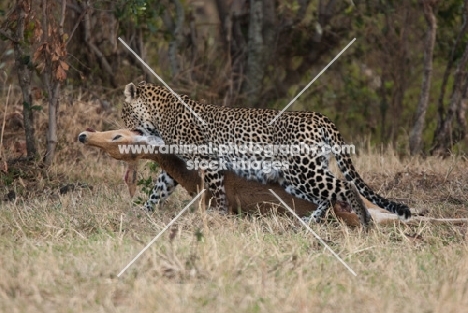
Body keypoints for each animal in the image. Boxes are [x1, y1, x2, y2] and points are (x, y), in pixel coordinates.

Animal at [120, 80, 410, 224]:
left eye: (124, 111)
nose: (119, 123)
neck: (158, 116)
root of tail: (319, 117)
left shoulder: (210, 161)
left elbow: (217, 192)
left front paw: (221, 217)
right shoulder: (178, 167)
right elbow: (159, 189)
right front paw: (144, 212)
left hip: (302, 170)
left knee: (344, 186)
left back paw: (365, 222)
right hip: (296, 176)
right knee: (328, 196)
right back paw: (309, 221)